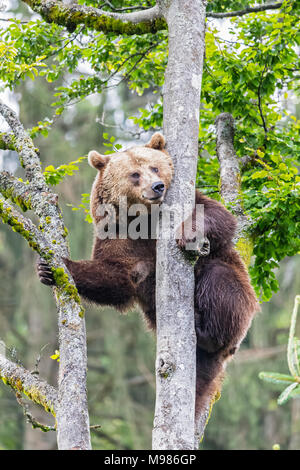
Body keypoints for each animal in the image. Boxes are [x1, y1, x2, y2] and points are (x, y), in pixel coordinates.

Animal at [37, 133, 258, 418]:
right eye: (134, 174)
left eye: (155, 167)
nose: (158, 186)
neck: (144, 219)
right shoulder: (117, 235)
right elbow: (117, 277)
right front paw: (50, 268)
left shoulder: (192, 203)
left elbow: (218, 217)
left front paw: (188, 234)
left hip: (242, 298)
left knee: (220, 282)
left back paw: (207, 331)